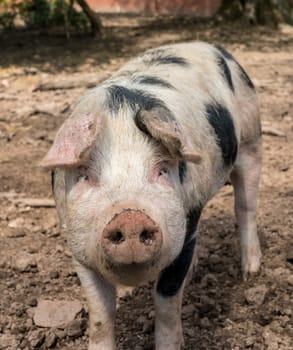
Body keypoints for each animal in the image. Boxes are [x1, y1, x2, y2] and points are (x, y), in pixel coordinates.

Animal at [40, 41, 262, 350]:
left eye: (161, 170)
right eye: (84, 174)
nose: (130, 218)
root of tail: (212, 46)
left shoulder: (183, 235)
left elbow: (167, 303)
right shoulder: (78, 247)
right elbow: (100, 314)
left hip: (253, 141)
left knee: (246, 207)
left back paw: (250, 273)